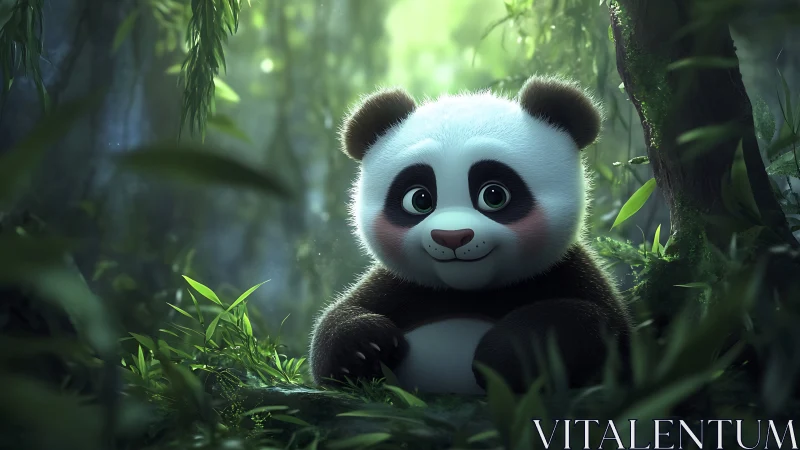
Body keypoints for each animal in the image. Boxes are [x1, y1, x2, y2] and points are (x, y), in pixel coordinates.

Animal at [308, 75, 632, 395]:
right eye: (419, 199)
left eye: (494, 195)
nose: (451, 237)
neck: (467, 291)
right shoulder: (402, 285)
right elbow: (332, 334)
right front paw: (365, 346)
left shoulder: (566, 272)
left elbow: (604, 330)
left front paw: (501, 354)